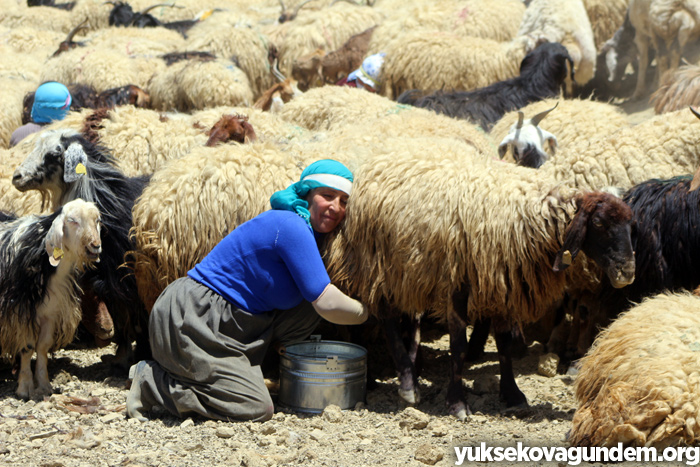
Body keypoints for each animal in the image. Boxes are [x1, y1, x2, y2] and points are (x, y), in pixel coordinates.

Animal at [11, 130, 153, 372]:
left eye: (53, 154)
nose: (17, 177)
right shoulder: (110, 278)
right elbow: (122, 315)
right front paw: (122, 356)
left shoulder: (130, 278)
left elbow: (136, 316)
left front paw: (138, 355)